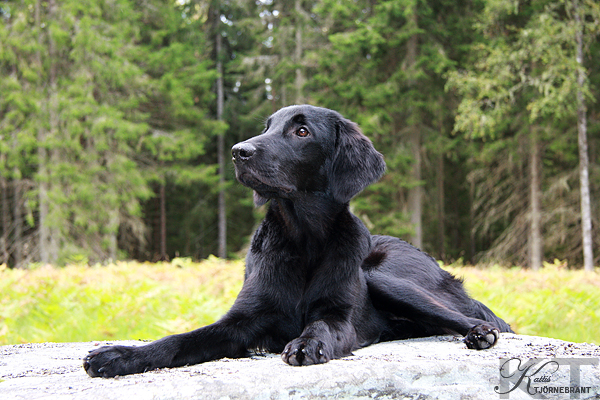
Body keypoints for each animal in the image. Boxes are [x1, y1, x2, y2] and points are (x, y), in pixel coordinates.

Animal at [83, 104, 510, 378]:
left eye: (301, 131)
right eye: (267, 127)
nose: (238, 152)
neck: (303, 240)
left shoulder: (340, 315)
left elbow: (320, 324)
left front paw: (306, 343)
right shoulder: (240, 321)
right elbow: (179, 340)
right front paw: (119, 355)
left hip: (383, 277)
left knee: (473, 318)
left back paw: (479, 332)